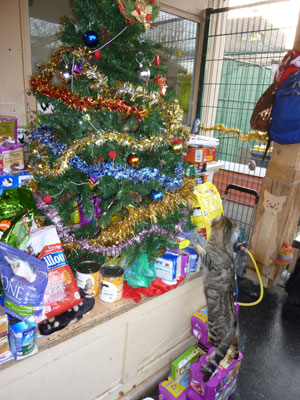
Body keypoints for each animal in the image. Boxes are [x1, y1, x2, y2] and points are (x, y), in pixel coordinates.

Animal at [193, 216, 240, 382]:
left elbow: (203, 252)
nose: (212, 218)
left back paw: (209, 358)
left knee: (219, 350)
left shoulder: (211, 262)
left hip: (213, 331)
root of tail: (233, 328)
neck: (225, 244)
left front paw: (196, 244)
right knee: (233, 350)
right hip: (235, 338)